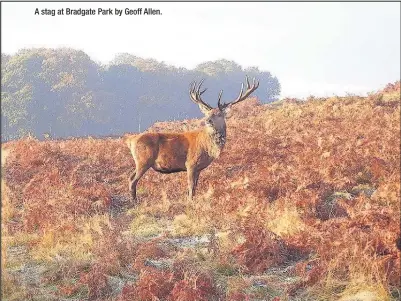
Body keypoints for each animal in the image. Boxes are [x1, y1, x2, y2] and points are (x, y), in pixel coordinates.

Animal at [125, 75, 260, 204]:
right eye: (207, 113)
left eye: (219, 114)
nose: (207, 120)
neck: (208, 148)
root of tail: (131, 140)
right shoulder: (190, 163)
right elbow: (190, 186)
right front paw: (190, 202)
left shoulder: (199, 168)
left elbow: (195, 186)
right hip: (143, 160)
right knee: (132, 180)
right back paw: (134, 202)